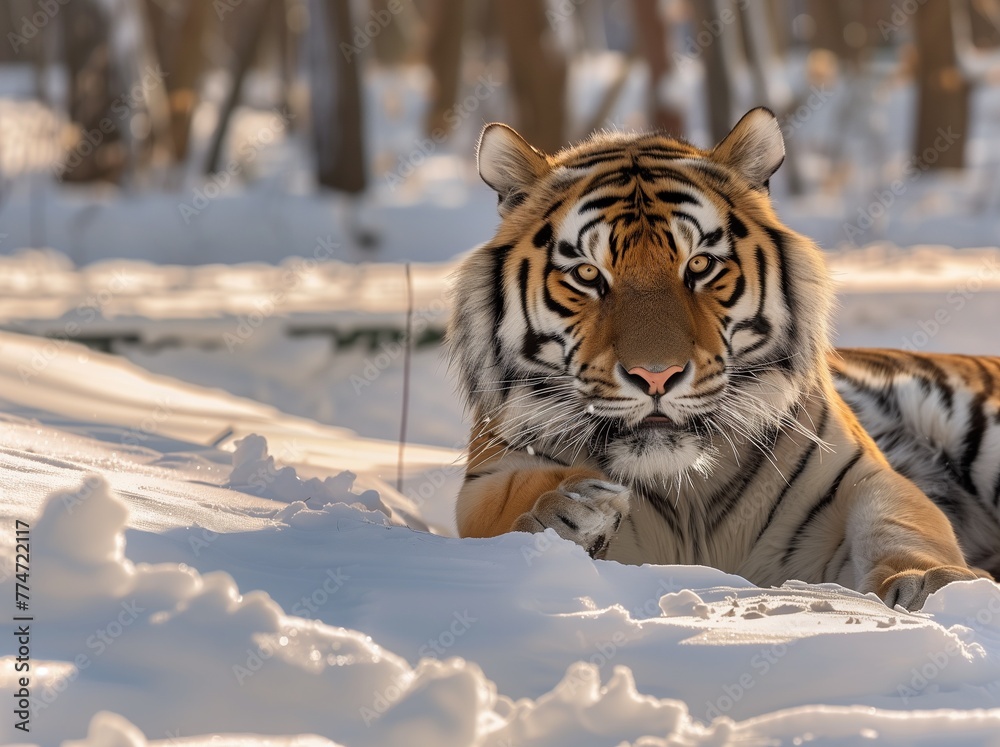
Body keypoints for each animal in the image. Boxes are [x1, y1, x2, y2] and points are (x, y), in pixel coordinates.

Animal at [447, 107, 1000, 611]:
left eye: (700, 265)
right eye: (587, 274)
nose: (656, 376)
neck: (685, 487)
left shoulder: (863, 478)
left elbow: (900, 525)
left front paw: (938, 585)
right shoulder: (488, 479)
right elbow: (507, 517)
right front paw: (570, 515)